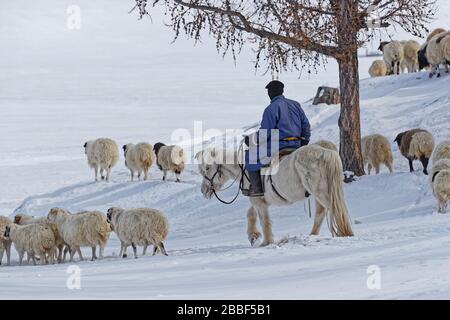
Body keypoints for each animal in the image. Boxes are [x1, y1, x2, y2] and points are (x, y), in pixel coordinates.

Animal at [197, 144, 356, 246]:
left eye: (207, 168)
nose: (204, 190)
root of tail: (326, 152)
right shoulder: (259, 200)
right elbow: (251, 214)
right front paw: (253, 236)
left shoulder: (258, 201)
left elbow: (265, 221)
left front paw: (266, 242)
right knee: (321, 213)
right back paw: (313, 235)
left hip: (321, 192)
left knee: (335, 210)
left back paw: (345, 233)